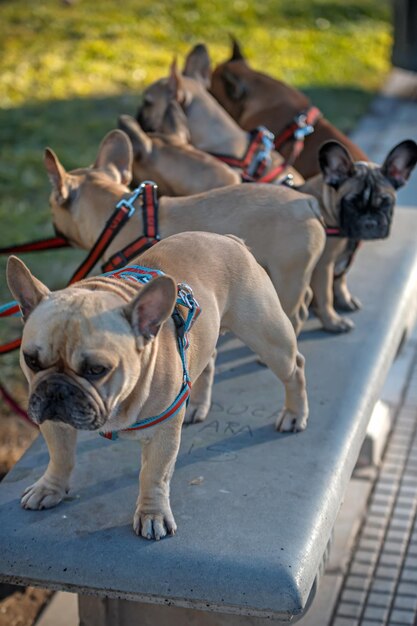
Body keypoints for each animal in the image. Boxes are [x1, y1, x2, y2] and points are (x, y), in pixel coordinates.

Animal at [4, 232, 308, 540]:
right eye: (31, 360)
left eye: (97, 370)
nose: (56, 389)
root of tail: (228, 238)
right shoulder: (53, 422)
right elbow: (60, 456)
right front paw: (49, 488)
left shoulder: (163, 434)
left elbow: (153, 475)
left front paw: (153, 515)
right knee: (206, 363)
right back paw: (197, 405)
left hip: (269, 339)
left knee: (295, 368)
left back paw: (294, 414)